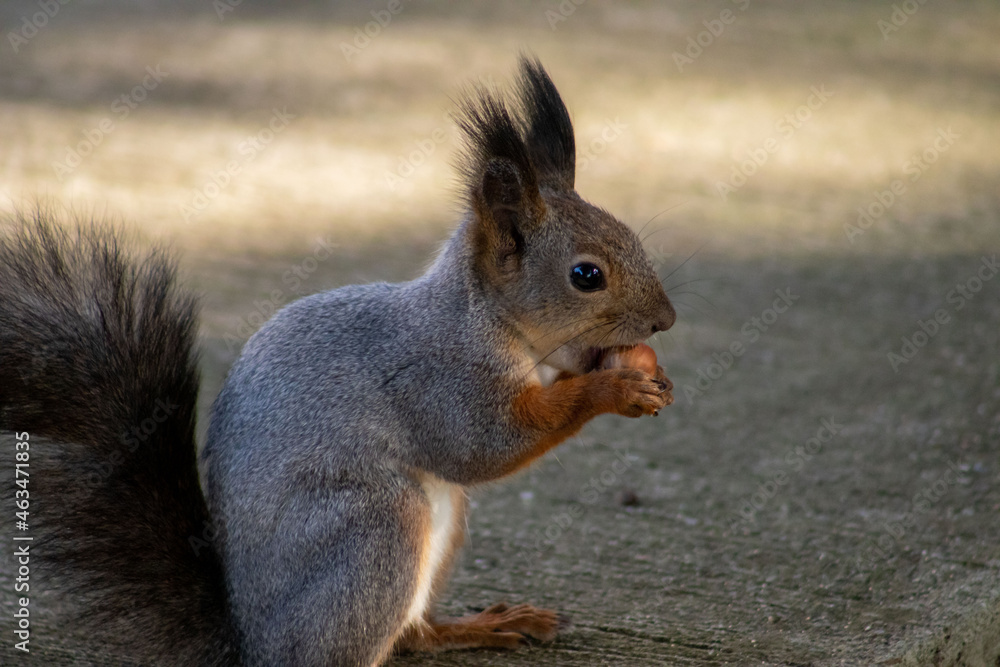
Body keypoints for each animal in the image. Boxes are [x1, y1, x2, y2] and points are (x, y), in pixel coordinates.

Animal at [0, 57, 674, 666]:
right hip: (377, 529)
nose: (665, 320)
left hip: (440, 521)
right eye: (586, 275)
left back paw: (482, 625)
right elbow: (483, 446)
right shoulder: (438, 380)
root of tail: (254, 644)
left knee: (412, 635)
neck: (488, 321)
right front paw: (616, 389)